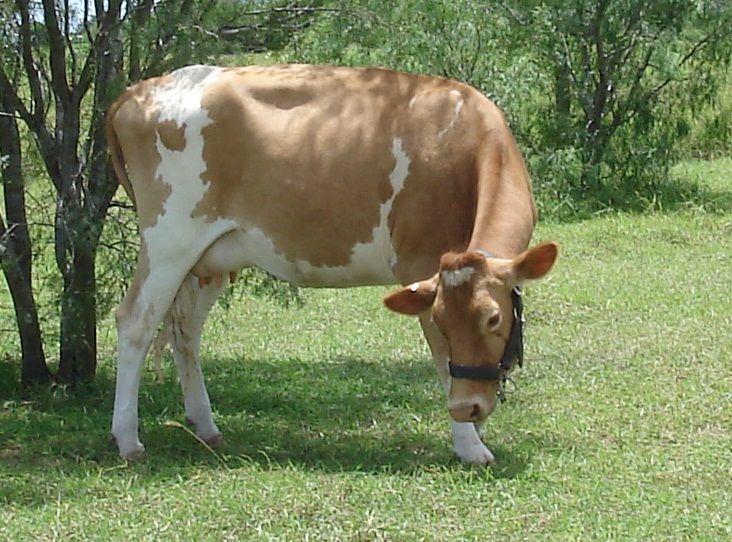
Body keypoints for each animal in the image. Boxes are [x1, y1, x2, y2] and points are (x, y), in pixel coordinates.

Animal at [106, 64, 558, 466]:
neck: (468, 145)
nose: (467, 408)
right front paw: (470, 446)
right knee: (135, 322)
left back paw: (205, 425)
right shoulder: (420, 263)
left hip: (210, 257)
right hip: (169, 240)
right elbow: (442, 362)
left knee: (186, 332)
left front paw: (474, 432)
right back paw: (128, 439)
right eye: (443, 320)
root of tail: (140, 89)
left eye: (493, 318)